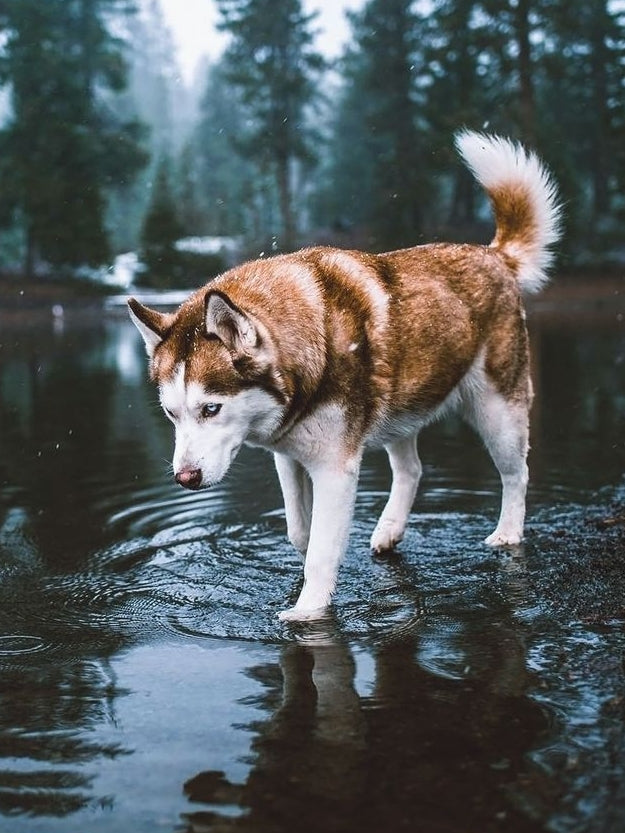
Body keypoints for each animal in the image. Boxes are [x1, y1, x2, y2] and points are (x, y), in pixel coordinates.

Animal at [129, 132, 560, 616]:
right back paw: (390, 529)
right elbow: (301, 530)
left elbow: (320, 549)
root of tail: (494, 255)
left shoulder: (335, 468)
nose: (184, 478)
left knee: (516, 473)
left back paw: (507, 533)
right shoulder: (288, 454)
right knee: (412, 469)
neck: (309, 347)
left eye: (211, 409)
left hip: (497, 410)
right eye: (171, 414)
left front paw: (307, 611)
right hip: (401, 410)